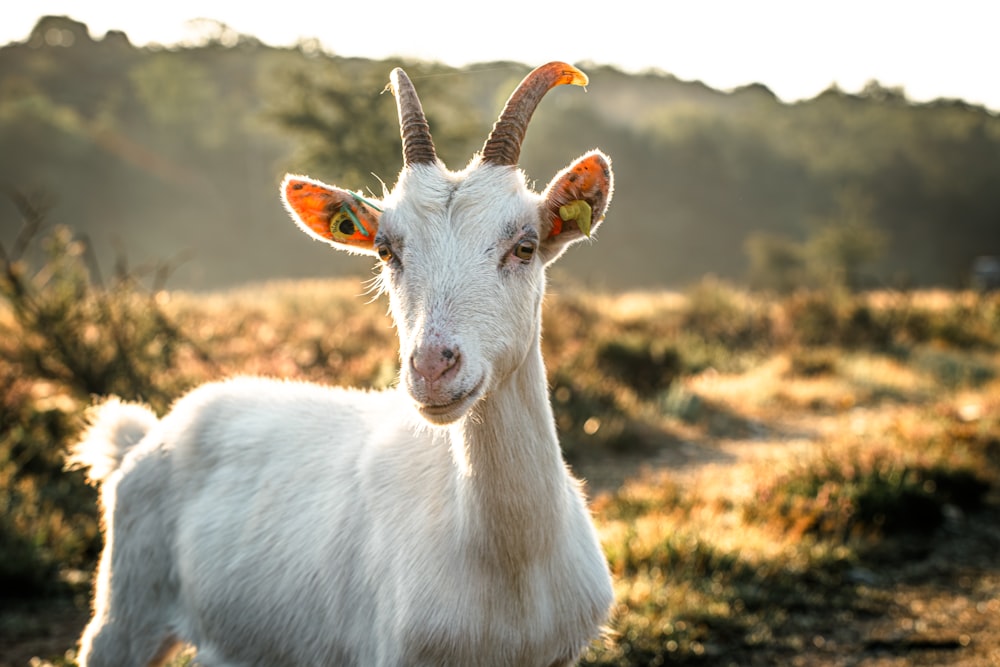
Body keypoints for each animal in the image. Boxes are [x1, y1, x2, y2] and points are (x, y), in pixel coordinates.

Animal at [70, 62, 612, 667]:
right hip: (126, 606)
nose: (432, 368)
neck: (511, 559)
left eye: (524, 247)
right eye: (385, 250)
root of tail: (144, 437)